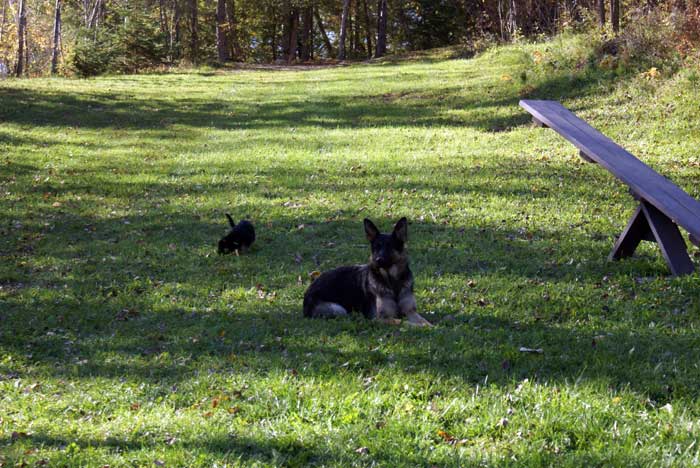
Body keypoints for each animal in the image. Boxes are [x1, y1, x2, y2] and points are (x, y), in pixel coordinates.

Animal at [302, 218, 430, 328]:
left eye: (389, 247)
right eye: (376, 247)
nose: (378, 260)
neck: (392, 281)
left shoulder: (410, 311)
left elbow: (423, 320)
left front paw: (429, 325)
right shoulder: (380, 318)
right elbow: (403, 322)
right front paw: (421, 327)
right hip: (339, 310)